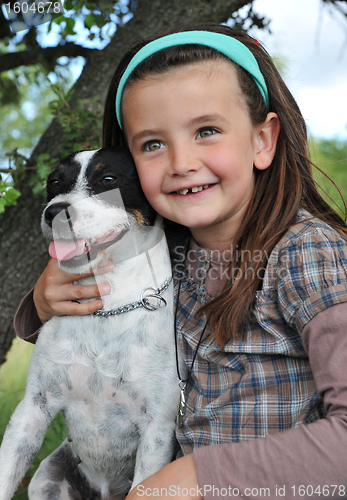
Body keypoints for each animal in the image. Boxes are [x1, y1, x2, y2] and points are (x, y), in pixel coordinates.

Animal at [0, 148, 186, 500]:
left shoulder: (157, 427)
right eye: (54, 182)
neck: (107, 310)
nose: (54, 212)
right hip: (47, 477)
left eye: (108, 178)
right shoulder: (34, 405)